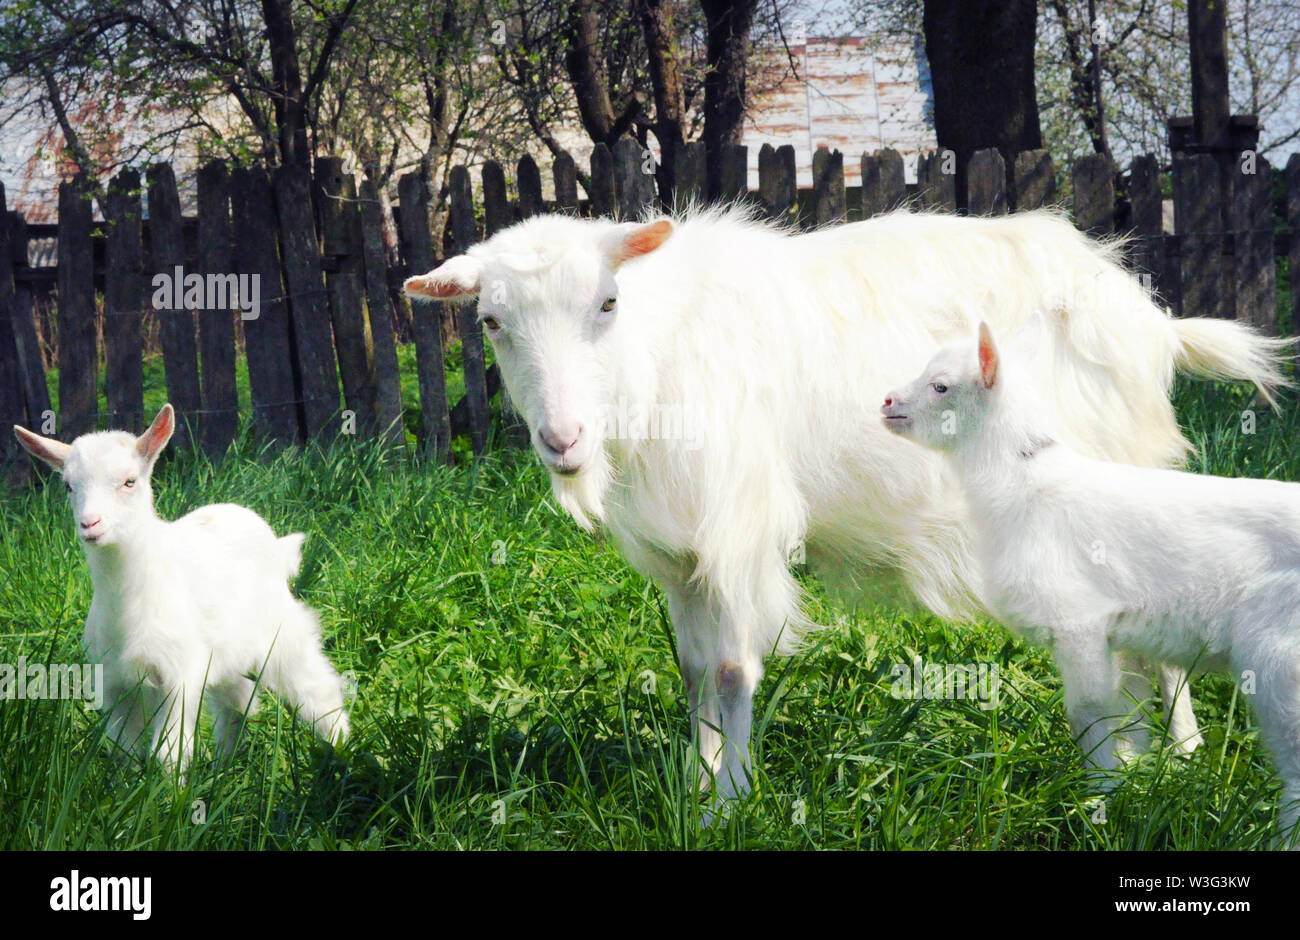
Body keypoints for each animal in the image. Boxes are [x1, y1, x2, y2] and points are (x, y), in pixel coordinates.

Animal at [405, 209, 1289, 806]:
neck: (657, 355)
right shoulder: (684, 553)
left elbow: (732, 669)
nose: (562, 438)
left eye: (607, 304)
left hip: (1129, 488)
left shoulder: (738, 525)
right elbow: (693, 670)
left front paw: (734, 802)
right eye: (491, 321)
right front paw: (696, 786)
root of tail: (1155, 322)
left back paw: (1181, 756)